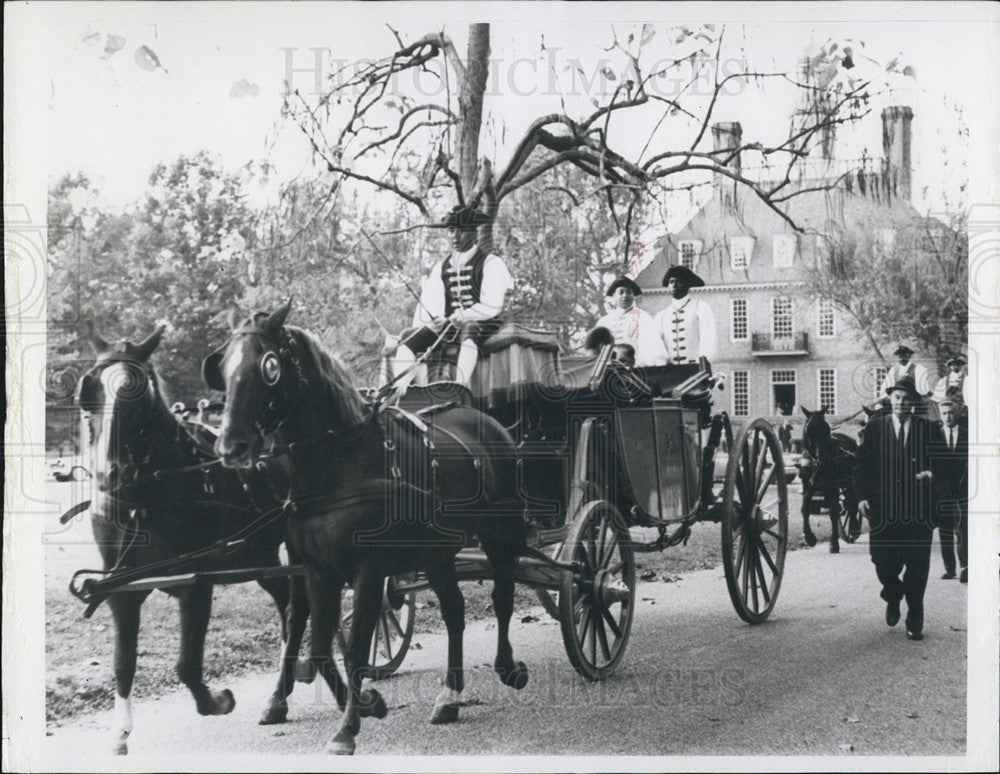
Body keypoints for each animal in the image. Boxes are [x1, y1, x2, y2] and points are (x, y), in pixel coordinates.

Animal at [76, 324, 308, 756]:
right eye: (90, 390)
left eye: (138, 393)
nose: (107, 474)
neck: (145, 499)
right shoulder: (121, 588)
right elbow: (122, 662)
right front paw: (120, 732)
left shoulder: (195, 584)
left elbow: (186, 664)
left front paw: (217, 701)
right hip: (261, 555)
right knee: (288, 603)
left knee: (299, 607)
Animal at [205, 304, 532, 756]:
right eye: (222, 366)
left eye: (269, 366)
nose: (229, 446)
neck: (341, 460)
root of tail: (487, 422)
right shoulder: (318, 570)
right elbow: (319, 646)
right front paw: (368, 702)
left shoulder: (368, 570)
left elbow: (356, 646)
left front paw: (346, 728)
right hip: (437, 553)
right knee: (454, 610)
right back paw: (449, 696)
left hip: (500, 533)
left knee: (502, 597)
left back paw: (507, 668)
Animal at [796, 410, 860, 556]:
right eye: (810, 430)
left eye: (826, 429)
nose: (822, 458)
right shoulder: (808, 485)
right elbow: (805, 508)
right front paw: (809, 537)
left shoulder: (833, 485)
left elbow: (834, 512)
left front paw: (834, 543)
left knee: (852, 503)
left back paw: (853, 528)